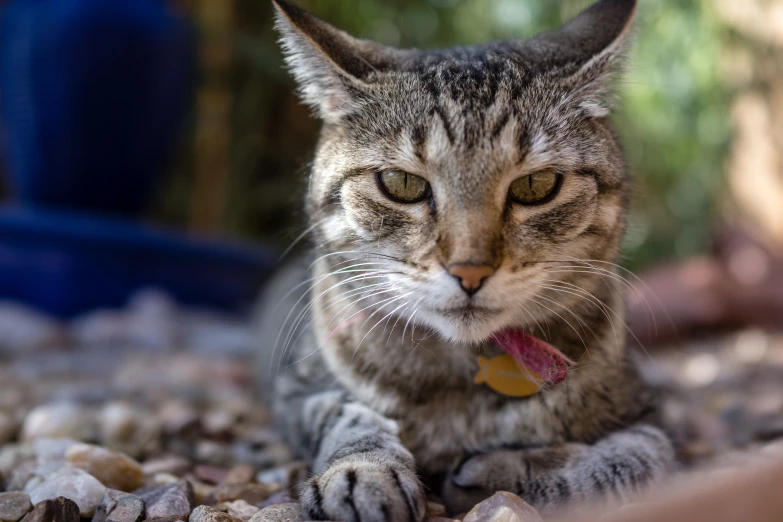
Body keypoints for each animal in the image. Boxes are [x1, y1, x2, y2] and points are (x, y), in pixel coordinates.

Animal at [256, 1, 672, 516]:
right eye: (401, 184)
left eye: (537, 185)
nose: (470, 271)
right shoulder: (297, 388)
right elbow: (343, 413)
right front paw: (360, 474)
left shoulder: (651, 417)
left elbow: (627, 462)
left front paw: (505, 471)